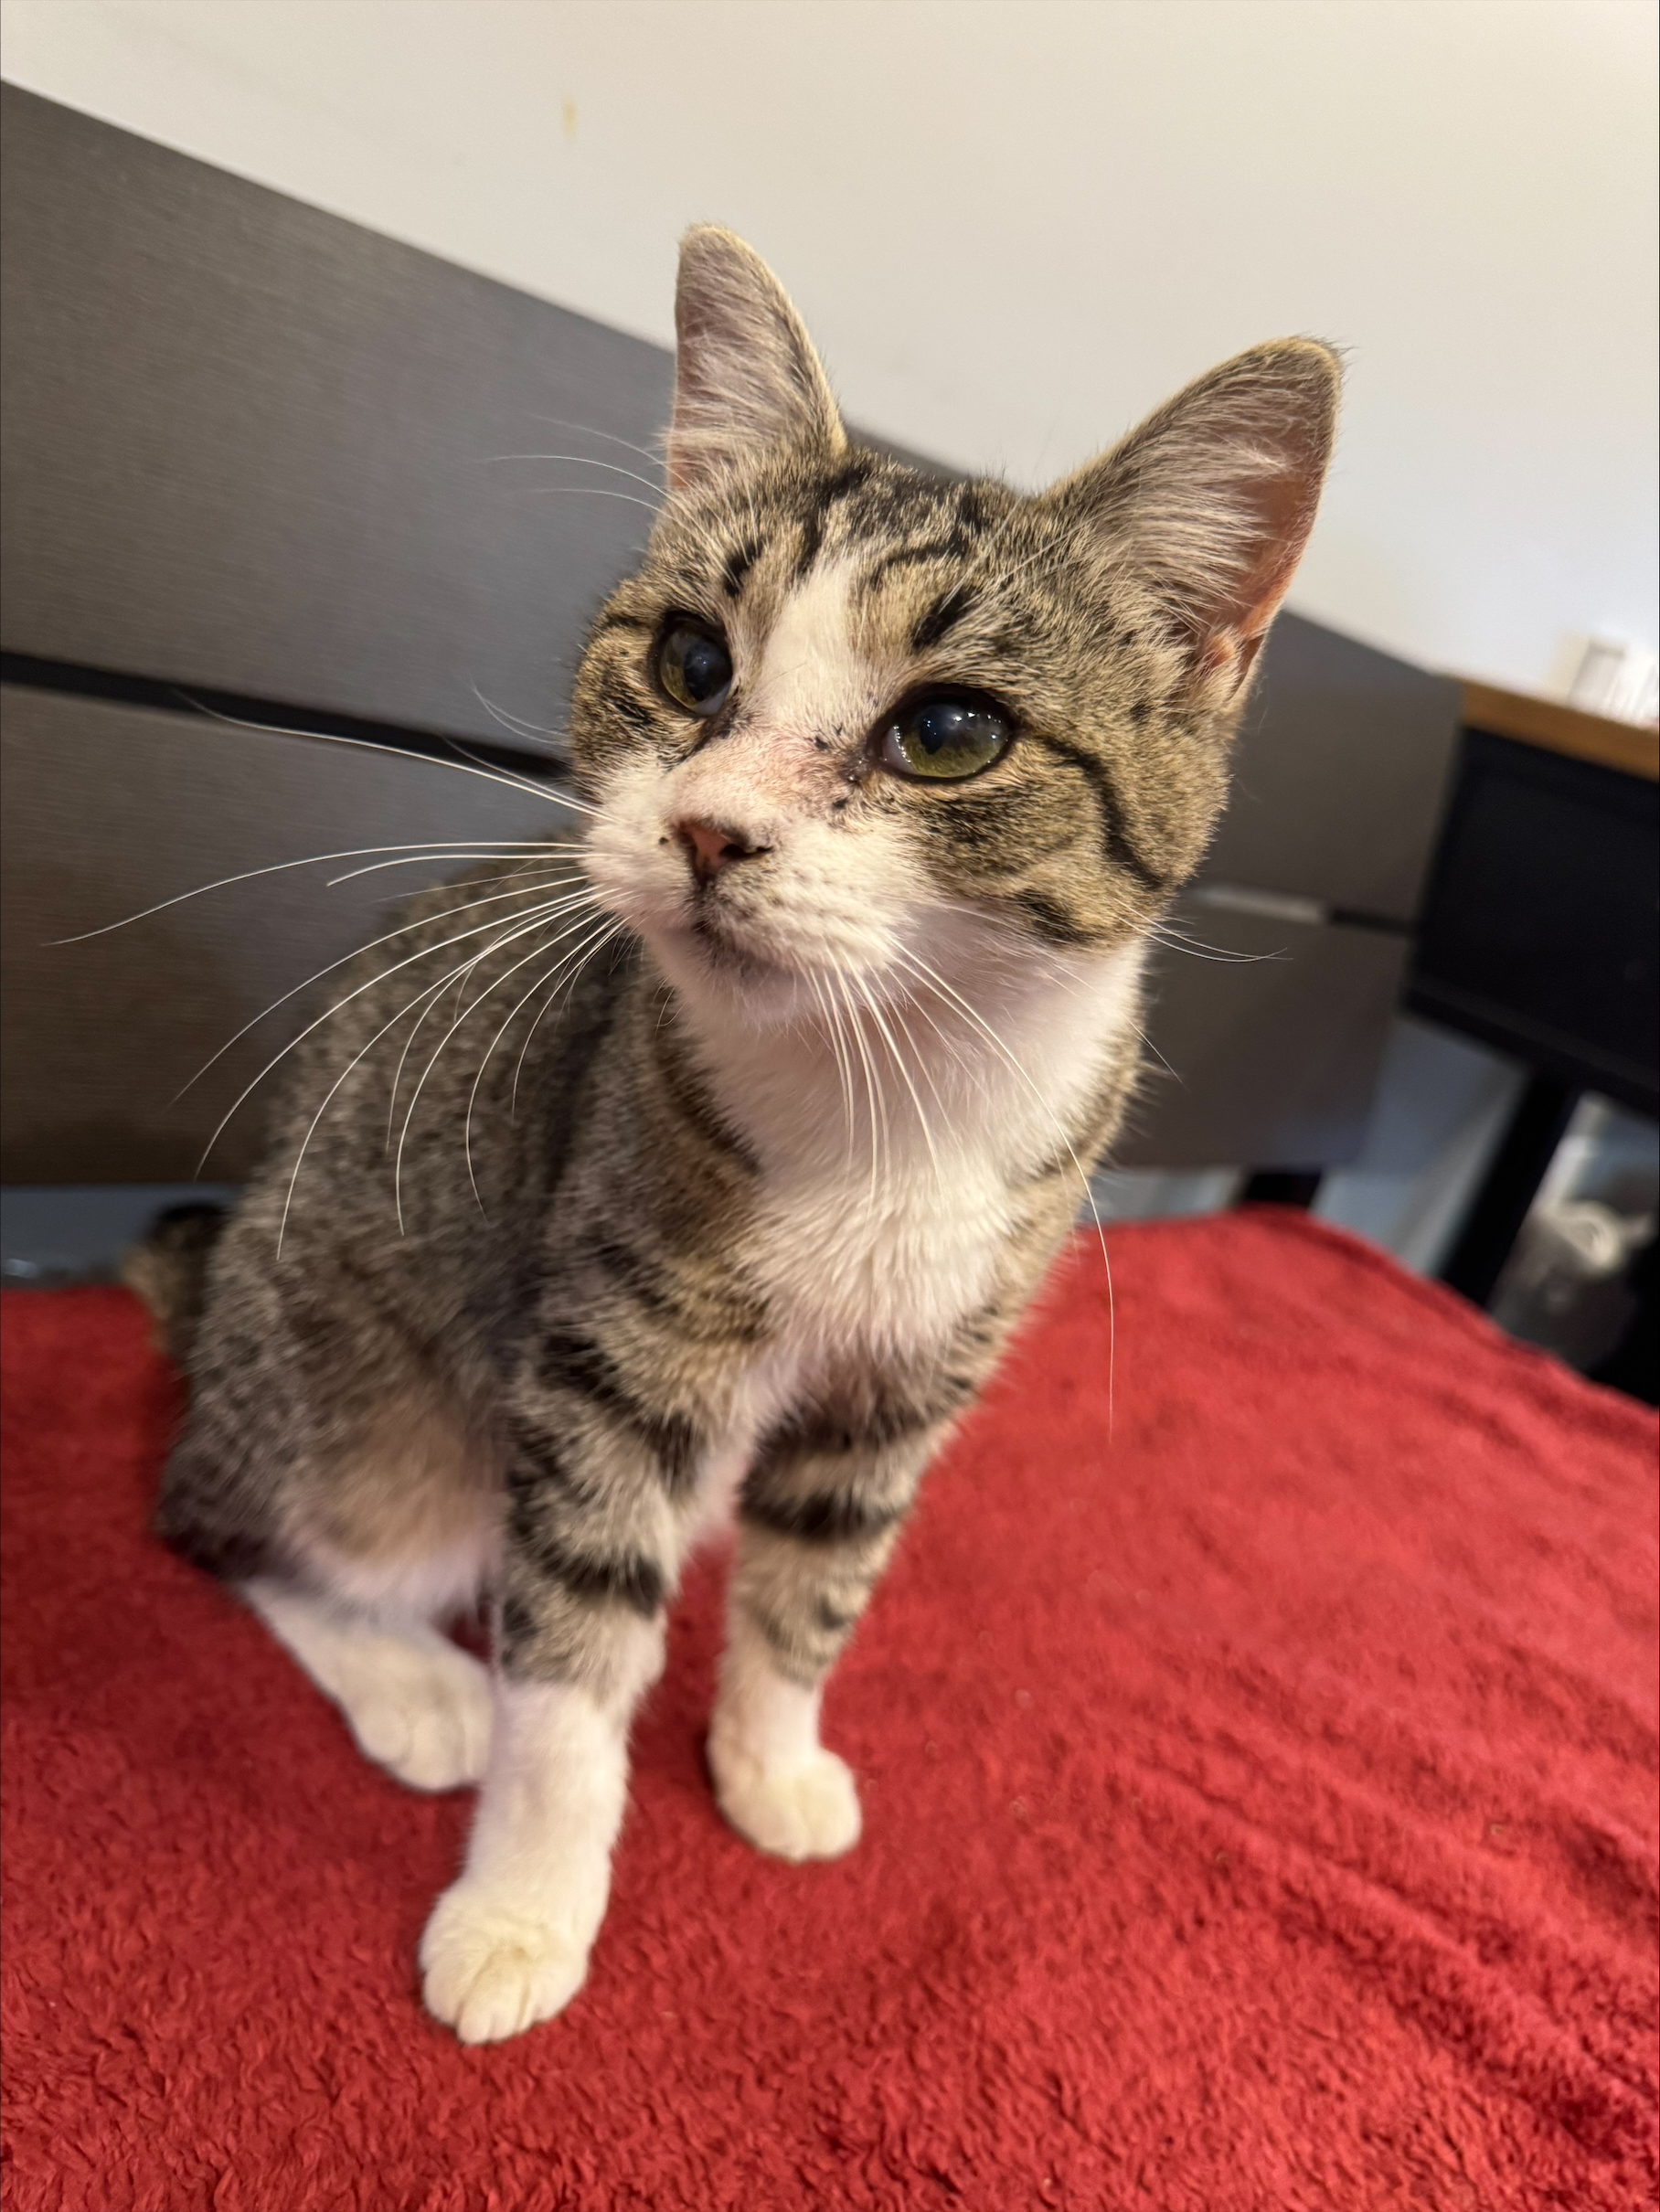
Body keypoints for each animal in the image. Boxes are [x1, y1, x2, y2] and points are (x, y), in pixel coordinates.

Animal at [135, 225, 1338, 2044]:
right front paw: (525, 1905)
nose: (709, 828)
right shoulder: (616, 1350)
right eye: (693, 663)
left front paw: (769, 1761)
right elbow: (571, 1654)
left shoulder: (914, 1368)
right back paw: (416, 1682)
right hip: (358, 1396)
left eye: (952, 731)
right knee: (239, 1520)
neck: (882, 1096)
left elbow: (817, 1581)